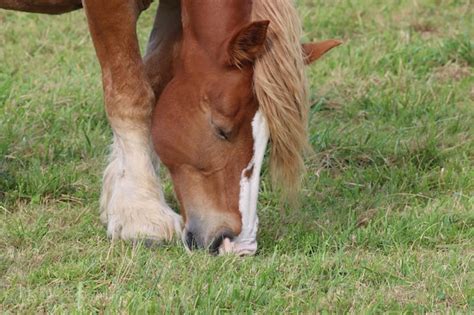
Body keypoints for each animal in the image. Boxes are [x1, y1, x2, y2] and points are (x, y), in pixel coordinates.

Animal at [0, 0, 340, 256]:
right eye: (221, 129)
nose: (238, 245)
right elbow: (131, 93)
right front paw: (142, 213)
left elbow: (155, 81)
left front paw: (120, 196)